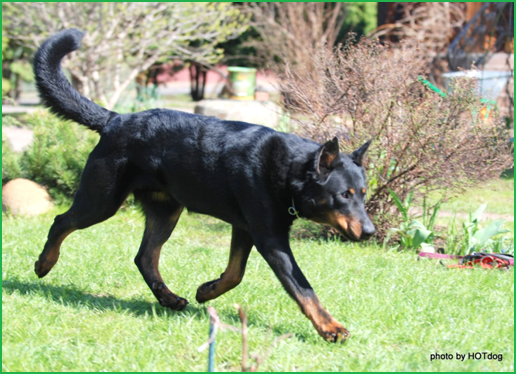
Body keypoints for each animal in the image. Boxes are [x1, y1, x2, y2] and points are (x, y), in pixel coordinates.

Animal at [32, 29, 374, 344]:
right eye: (343, 195)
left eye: (363, 195)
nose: (371, 232)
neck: (289, 169)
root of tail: (114, 119)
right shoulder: (271, 239)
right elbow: (302, 287)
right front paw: (330, 327)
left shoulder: (245, 229)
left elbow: (235, 274)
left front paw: (207, 291)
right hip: (101, 200)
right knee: (61, 221)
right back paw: (44, 264)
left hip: (166, 210)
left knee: (145, 256)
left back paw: (168, 298)